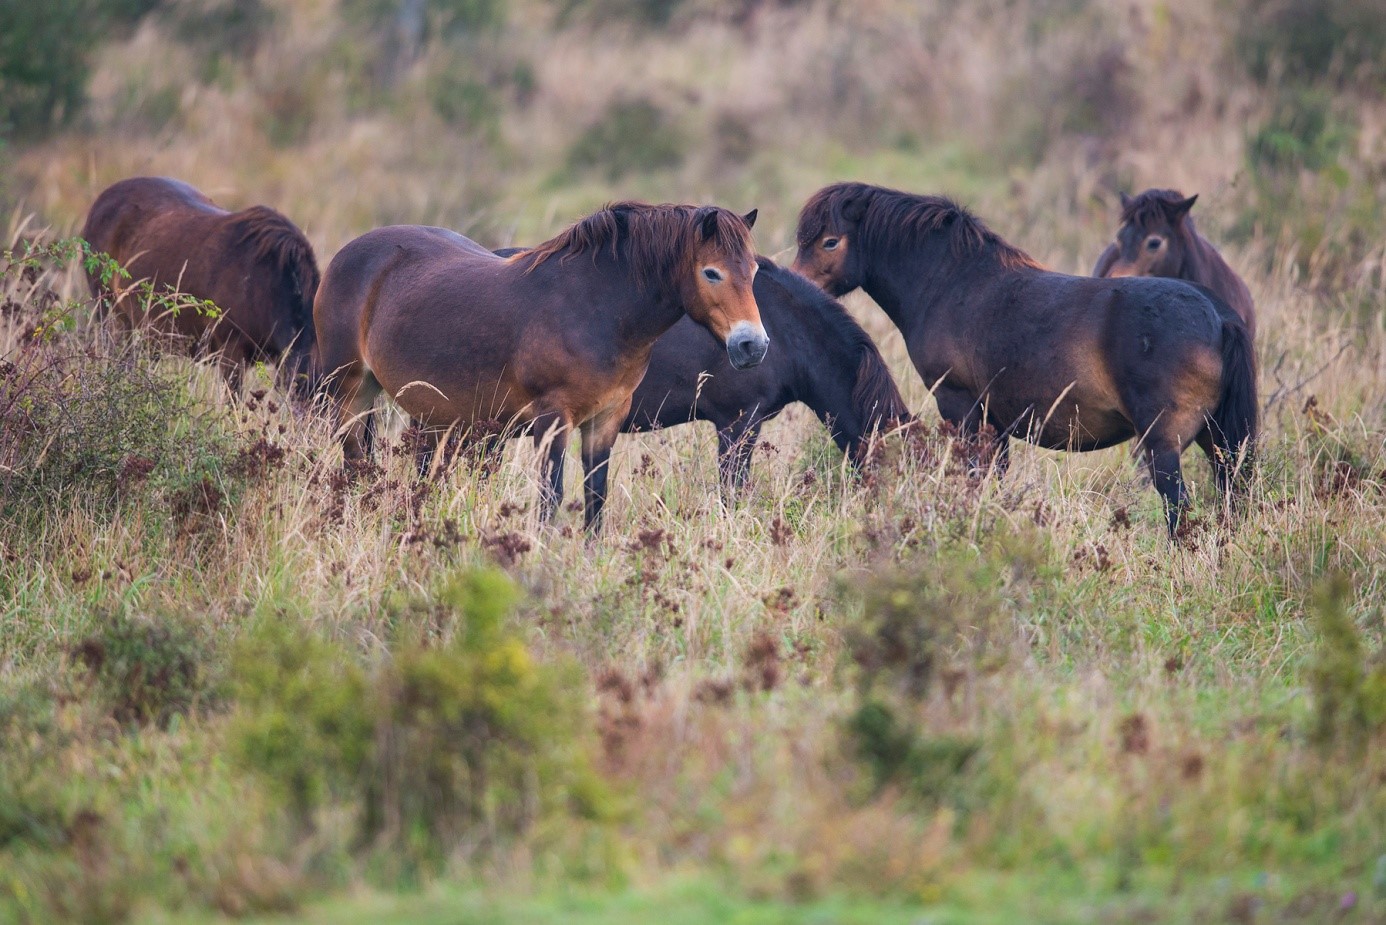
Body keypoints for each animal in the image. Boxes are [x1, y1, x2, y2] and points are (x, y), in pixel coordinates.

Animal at [317, 206, 770, 532]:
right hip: (350, 392)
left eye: (754, 271)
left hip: (431, 411)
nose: (752, 345)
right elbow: (551, 495)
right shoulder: (553, 418)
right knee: (354, 459)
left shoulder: (606, 419)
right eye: (711, 273)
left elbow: (595, 496)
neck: (594, 309)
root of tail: (349, 254)